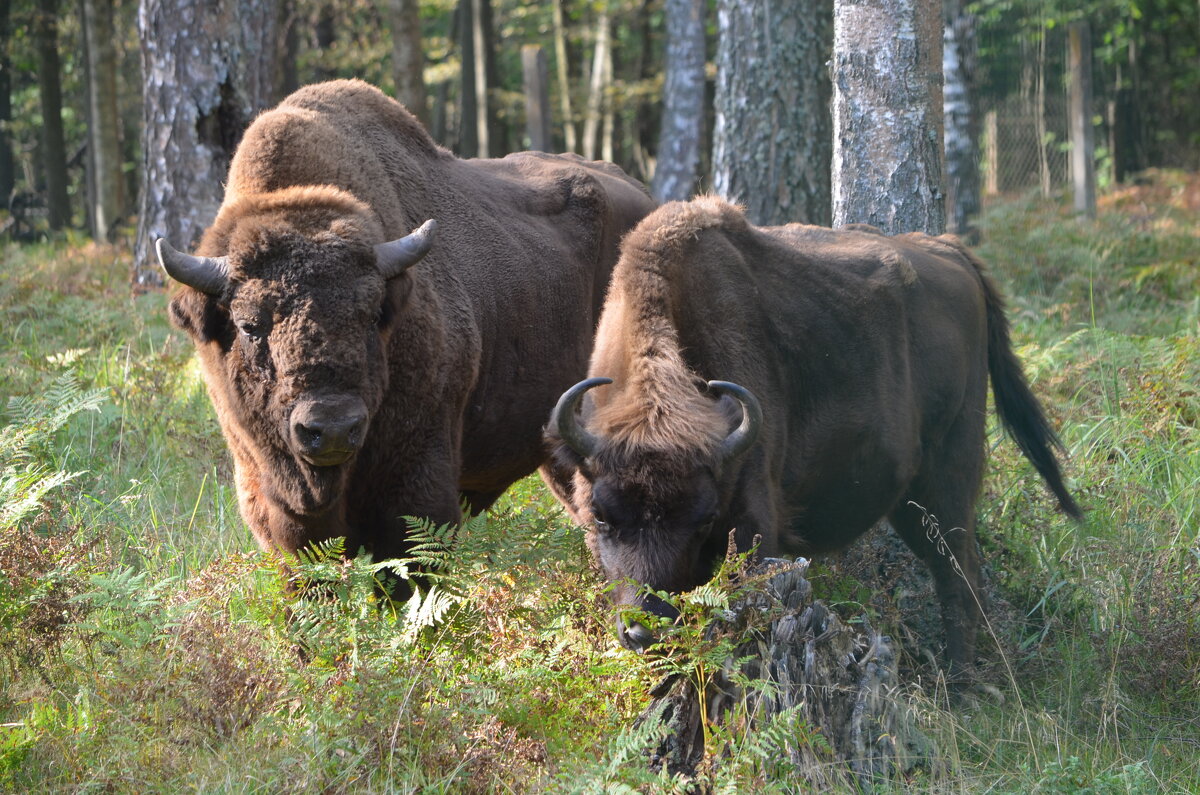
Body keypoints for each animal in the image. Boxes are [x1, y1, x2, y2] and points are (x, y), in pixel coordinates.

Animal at [549, 195, 1084, 677]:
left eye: (704, 519)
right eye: (601, 516)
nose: (645, 630)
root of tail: (950, 251)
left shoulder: (754, 524)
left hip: (950, 471)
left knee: (959, 574)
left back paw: (962, 686)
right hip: (911, 500)